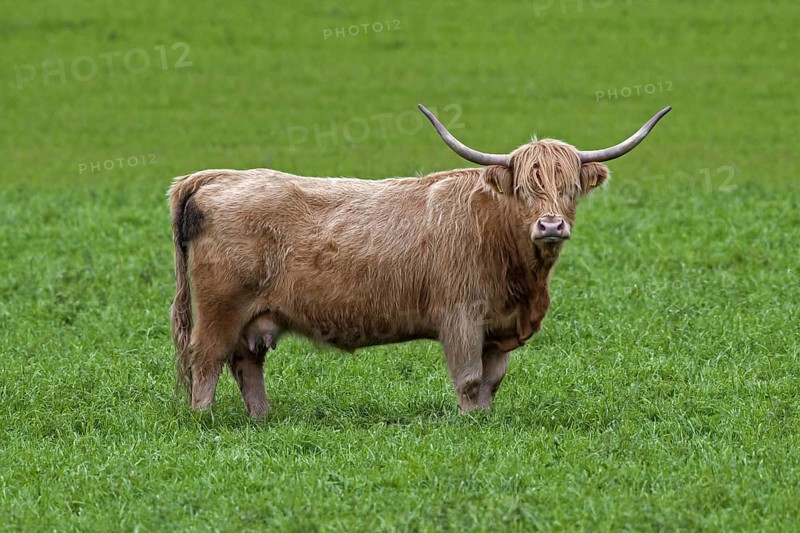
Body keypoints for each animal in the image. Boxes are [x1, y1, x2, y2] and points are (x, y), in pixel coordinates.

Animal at [169, 104, 671, 417]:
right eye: (524, 188)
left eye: (569, 187)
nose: (550, 225)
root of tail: (216, 176)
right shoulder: (460, 318)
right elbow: (469, 379)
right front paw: (469, 423)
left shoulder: (497, 328)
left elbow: (492, 381)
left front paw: (486, 421)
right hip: (219, 310)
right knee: (206, 359)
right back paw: (205, 419)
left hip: (252, 316)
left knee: (246, 364)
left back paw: (262, 418)